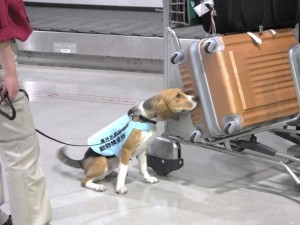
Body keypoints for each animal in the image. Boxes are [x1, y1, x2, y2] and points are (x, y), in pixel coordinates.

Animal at [56, 89, 197, 194]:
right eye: (178, 96)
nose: (196, 98)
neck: (144, 118)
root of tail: (82, 161)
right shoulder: (126, 151)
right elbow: (123, 172)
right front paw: (120, 188)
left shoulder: (143, 150)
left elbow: (144, 168)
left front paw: (148, 179)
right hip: (101, 161)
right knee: (85, 181)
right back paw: (97, 186)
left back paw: (112, 174)